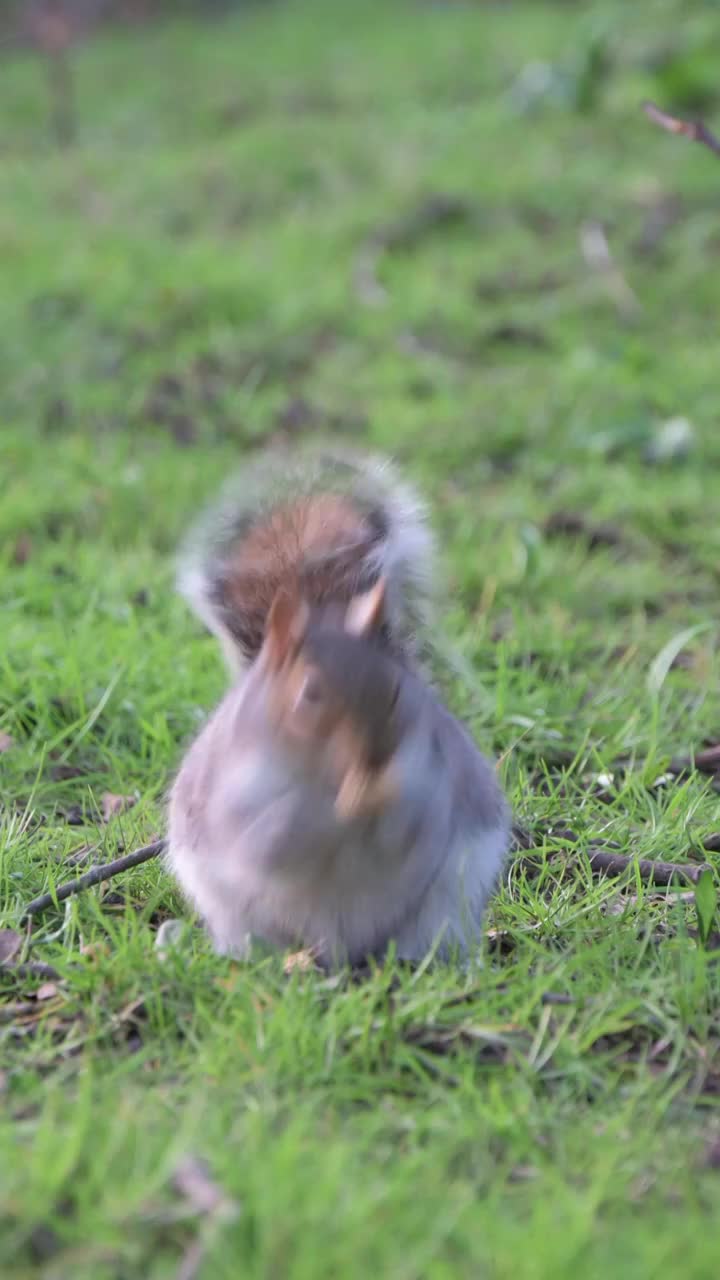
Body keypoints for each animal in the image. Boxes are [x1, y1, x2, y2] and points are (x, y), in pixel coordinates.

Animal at [165, 445, 507, 962]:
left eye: (397, 690)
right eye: (308, 694)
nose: (375, 757)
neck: (324, 773)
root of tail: (339, 949)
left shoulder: (434, 769)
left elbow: (414, 826)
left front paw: (385, 802)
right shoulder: (234, 795)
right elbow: (270, 839)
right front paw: (324, 813)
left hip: (448, 902)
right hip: (234, 913)